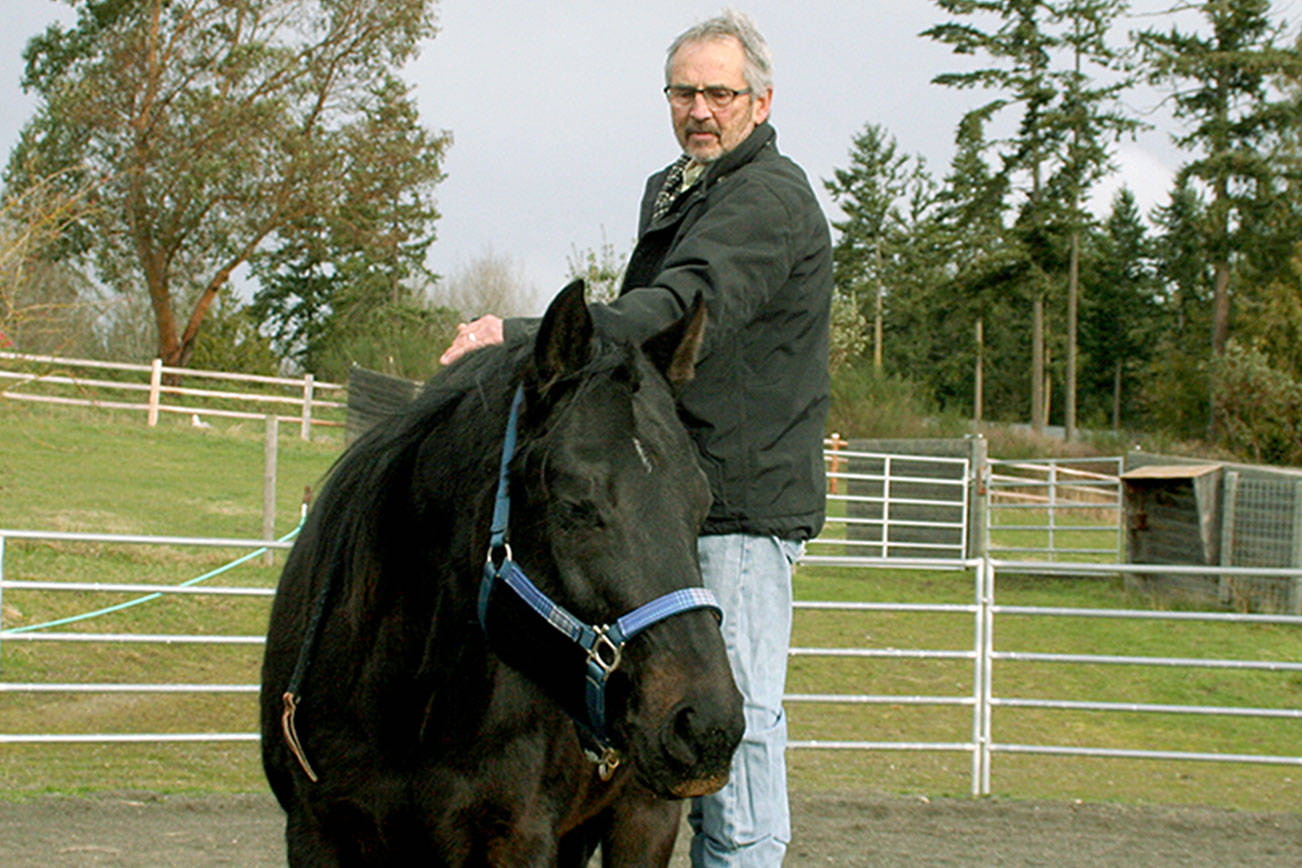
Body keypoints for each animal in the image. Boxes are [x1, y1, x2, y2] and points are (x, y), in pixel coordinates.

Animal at [257, 282, 744, 864]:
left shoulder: (516, 838)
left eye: (702, 505)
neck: (407, 708)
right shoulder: (316, 831)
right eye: (575, 504)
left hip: (644, 815)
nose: (707, 723)